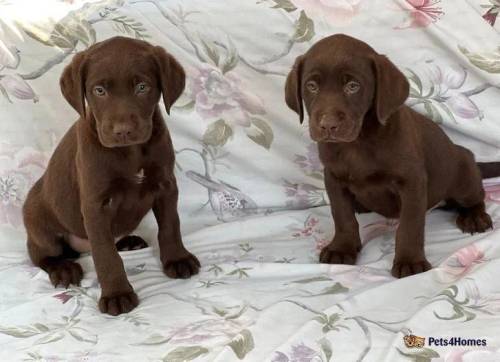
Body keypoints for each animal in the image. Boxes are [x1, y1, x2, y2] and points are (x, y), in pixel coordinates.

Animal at [23, 36, 199, 314]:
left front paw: (177, 259)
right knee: (42, 254)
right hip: (38, 221)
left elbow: (171, 225)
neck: (131, 151)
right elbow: (105, 254)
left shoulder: (166, 185)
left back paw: (129, 241)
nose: (123, 131)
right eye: (99, 91)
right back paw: (64, 268)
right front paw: (117, 294)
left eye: (142, 87)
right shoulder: (96, 204)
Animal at [286, 34, 500, 278]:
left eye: (353, 86)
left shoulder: (412, 182)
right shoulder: (333, 178)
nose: (328, 125)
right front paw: (342, 247)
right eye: (311, 86)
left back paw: (474, 217)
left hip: (463, 177)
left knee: (476, 196)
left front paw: (410, 260)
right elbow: (342, 216)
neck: (358, 142)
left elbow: (409, 225)